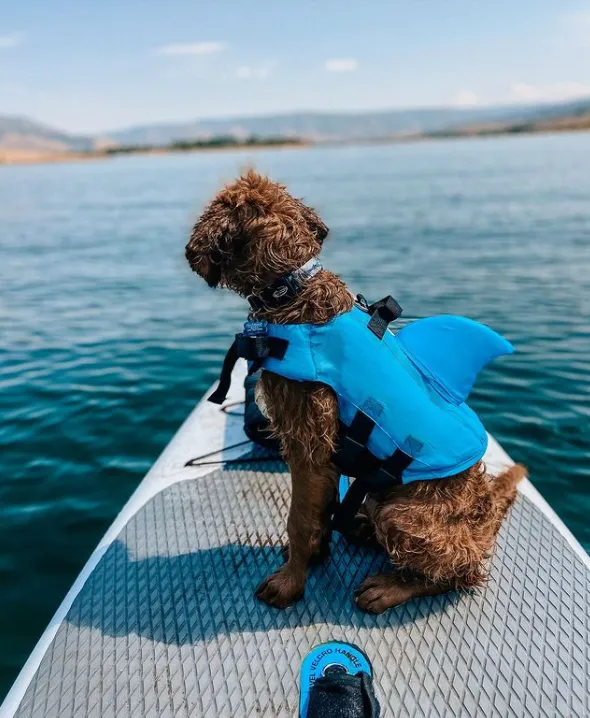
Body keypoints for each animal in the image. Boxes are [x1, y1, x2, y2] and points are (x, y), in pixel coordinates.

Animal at [186, 172, 528, 616]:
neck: (293, 288)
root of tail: (486, 522)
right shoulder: (322, 449)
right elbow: (319, 511)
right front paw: (314, 556)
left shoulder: (308, 443)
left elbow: (299, 520)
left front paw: (289, 583)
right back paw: (363, 528)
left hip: (405, 514)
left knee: (460, 574)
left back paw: (392, 586)